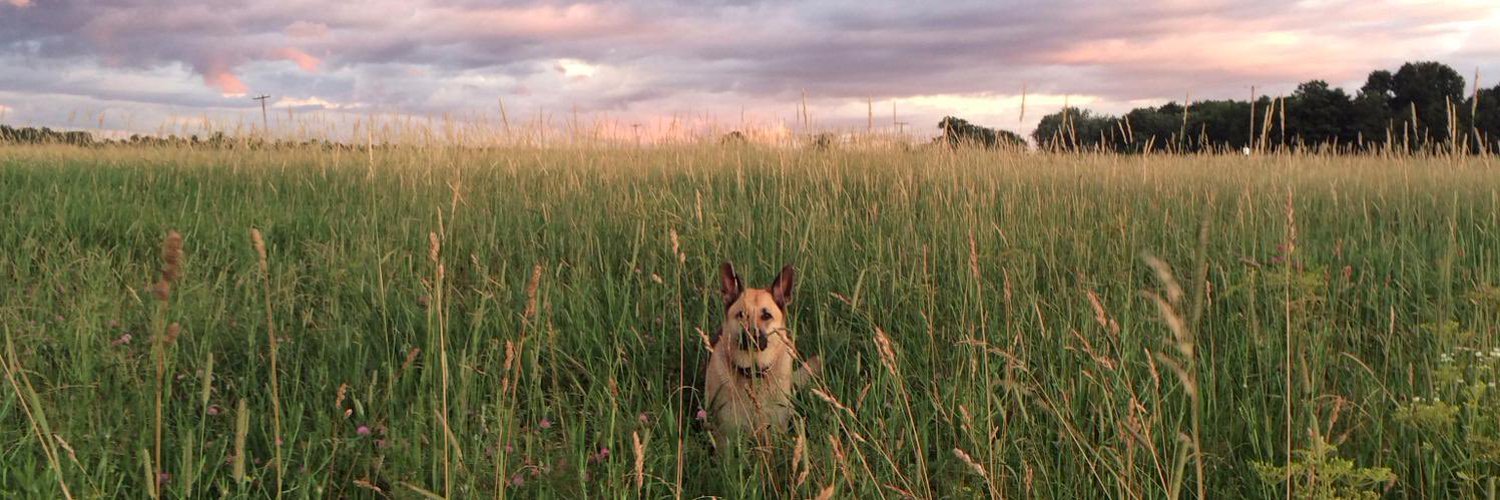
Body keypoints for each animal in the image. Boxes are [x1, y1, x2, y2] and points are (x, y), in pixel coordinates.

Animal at [702, 261, 822, 444]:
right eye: (741, 314)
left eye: (766, 315)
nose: (751, 336)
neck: (753, 374)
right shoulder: (725, 436)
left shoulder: (774, 432)